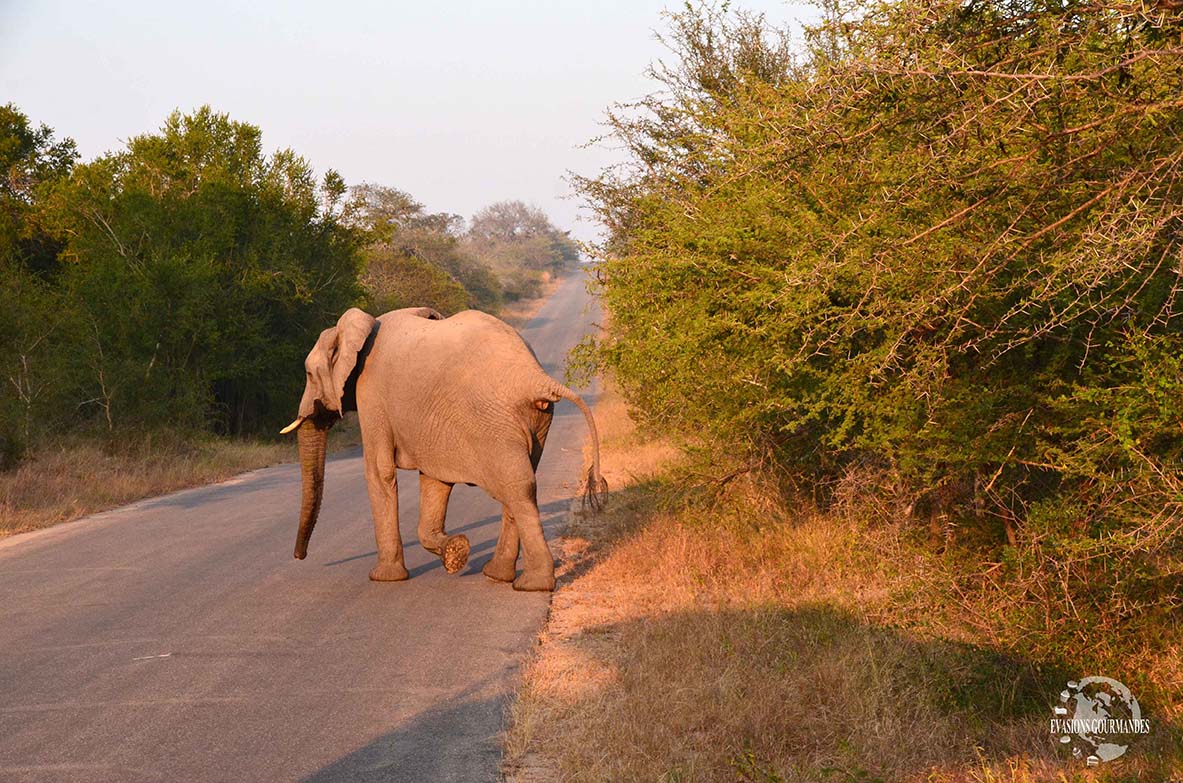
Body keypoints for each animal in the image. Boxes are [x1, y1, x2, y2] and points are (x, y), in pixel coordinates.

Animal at [280, 307, 605, 596]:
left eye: (309, 374)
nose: (298, 557)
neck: (361, 325)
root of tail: (534, 377)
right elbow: (434, 478)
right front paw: (456, 552)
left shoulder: (371, 394)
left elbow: (379, 471)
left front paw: (384, 578)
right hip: (535, 421)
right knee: (519, 486)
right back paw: (497, 575)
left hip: (494, 422)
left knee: (517, 488)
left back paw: (531, 585)